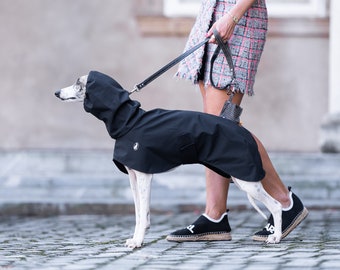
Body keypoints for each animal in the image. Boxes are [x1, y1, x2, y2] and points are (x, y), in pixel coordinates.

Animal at [55, 70, 282, 248]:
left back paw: (276, 236)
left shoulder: (145, 175)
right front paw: (136, 238)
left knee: (276, 205)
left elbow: (143, 212)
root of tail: (245, 132)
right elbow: (139, 213)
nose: (56, 92)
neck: (129, 121)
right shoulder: (133, 176)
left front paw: (138, 241)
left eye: (78, 83)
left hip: (246, 180)